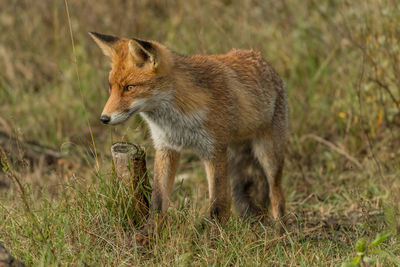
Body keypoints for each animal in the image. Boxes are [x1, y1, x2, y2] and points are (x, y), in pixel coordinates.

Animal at [88, 31, 288, 226]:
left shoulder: (213, 150)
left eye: (129, 87)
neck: (177, 120)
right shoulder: (166, 147)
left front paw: (215, 235)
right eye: (111, 87)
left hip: (268, 155)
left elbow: (218, 204)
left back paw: (280, 229)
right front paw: (151, 231)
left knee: (276, 193)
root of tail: (265, 61)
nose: (104, 118)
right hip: (235, 156)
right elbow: (158, 200)